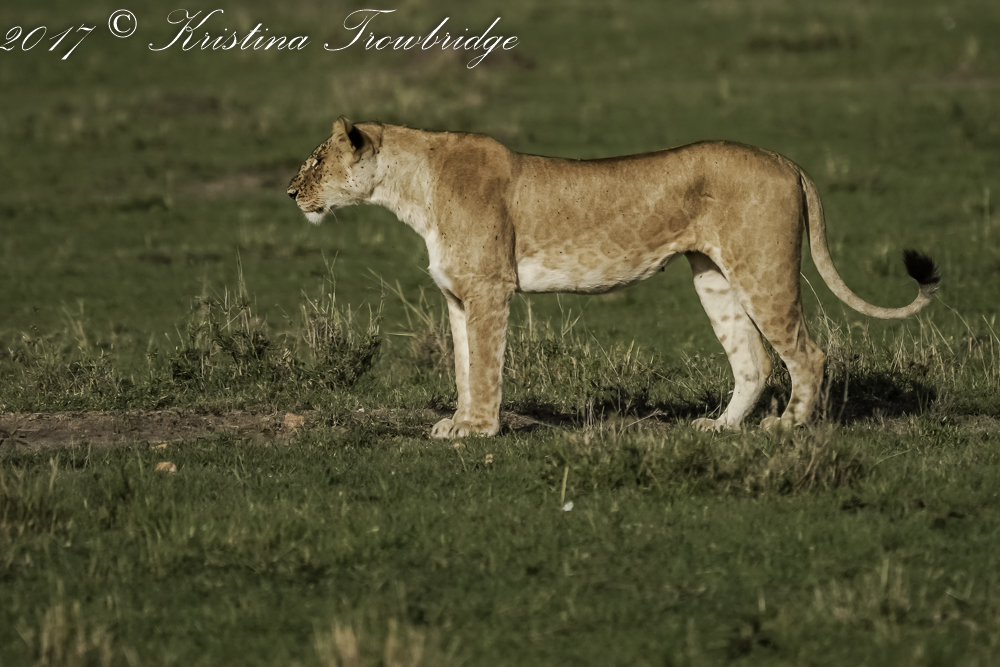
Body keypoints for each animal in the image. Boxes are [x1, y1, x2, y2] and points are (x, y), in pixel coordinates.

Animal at [287, 117, 939, 437]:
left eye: (315, 160)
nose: (291, 192)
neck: (410, 190)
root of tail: (786, 160)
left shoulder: (489, 289)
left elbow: (487, 364)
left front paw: (479, 431)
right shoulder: (456, 295)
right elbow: (465, 365)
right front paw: (459, 421)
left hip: (764, 268)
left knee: (808, 354)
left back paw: (789, 427)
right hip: (714, 277)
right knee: (753, 361)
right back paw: (721, 428)